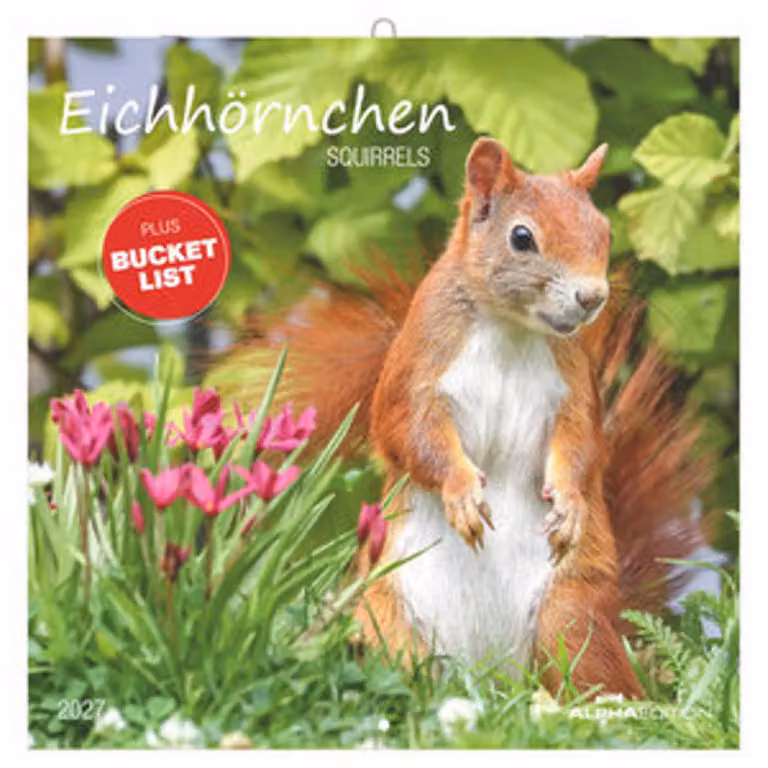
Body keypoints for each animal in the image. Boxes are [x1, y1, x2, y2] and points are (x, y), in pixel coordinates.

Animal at [233, 137, 711, 699]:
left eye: (605, 230)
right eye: (522, 237)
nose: (592, 296)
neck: (511, 328)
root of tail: (488, 678)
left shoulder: (573, 389)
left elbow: (582, 447)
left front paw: (570, 502)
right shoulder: (417, 369)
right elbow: (409, 433)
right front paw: (461, 492)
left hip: (570, 619)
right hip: (386, 622)